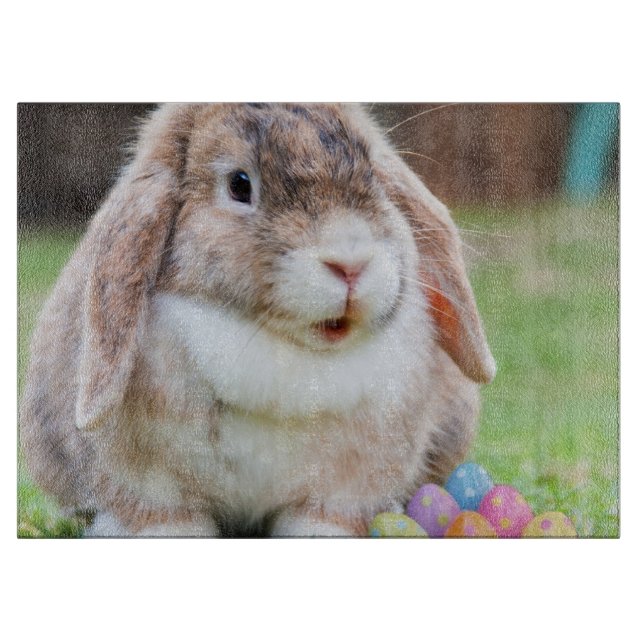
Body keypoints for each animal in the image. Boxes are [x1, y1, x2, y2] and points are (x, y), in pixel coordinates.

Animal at [20, 103, 495, 537]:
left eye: (373, 177)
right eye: (239, 184)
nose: (350, 262)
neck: (279, 346)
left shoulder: (348, 487)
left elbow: (322, 519)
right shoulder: (150, 485)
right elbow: (165, 519)